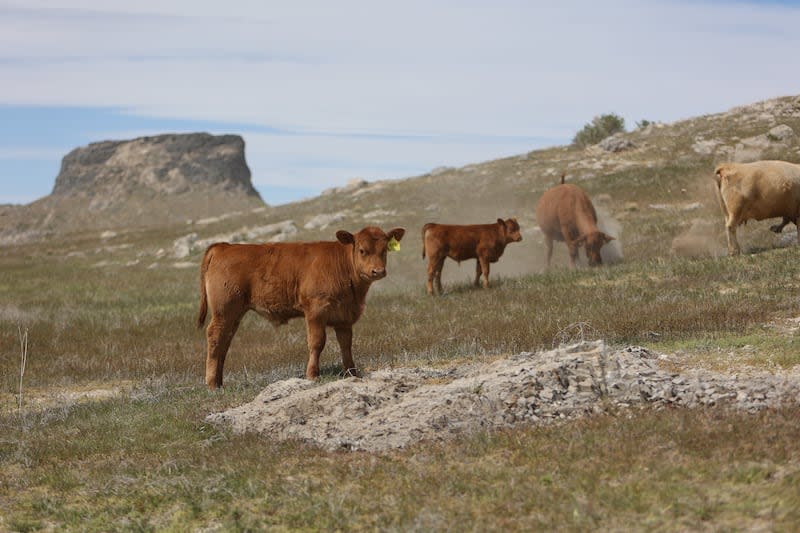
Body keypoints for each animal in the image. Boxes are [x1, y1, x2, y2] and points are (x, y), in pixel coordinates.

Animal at [195, 224, 406, 386]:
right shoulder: (316, 310)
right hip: (224, 309)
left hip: (235, 313)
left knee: (225, 340)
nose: (378, 271)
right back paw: (212, 384)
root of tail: (224, 247)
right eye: (362, 250)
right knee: (215, 335)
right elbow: (317, 342)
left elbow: (346, 345)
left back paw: (219, 382)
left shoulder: (344, 317)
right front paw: (312, 375)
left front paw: (351, 373)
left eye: (385, 250)